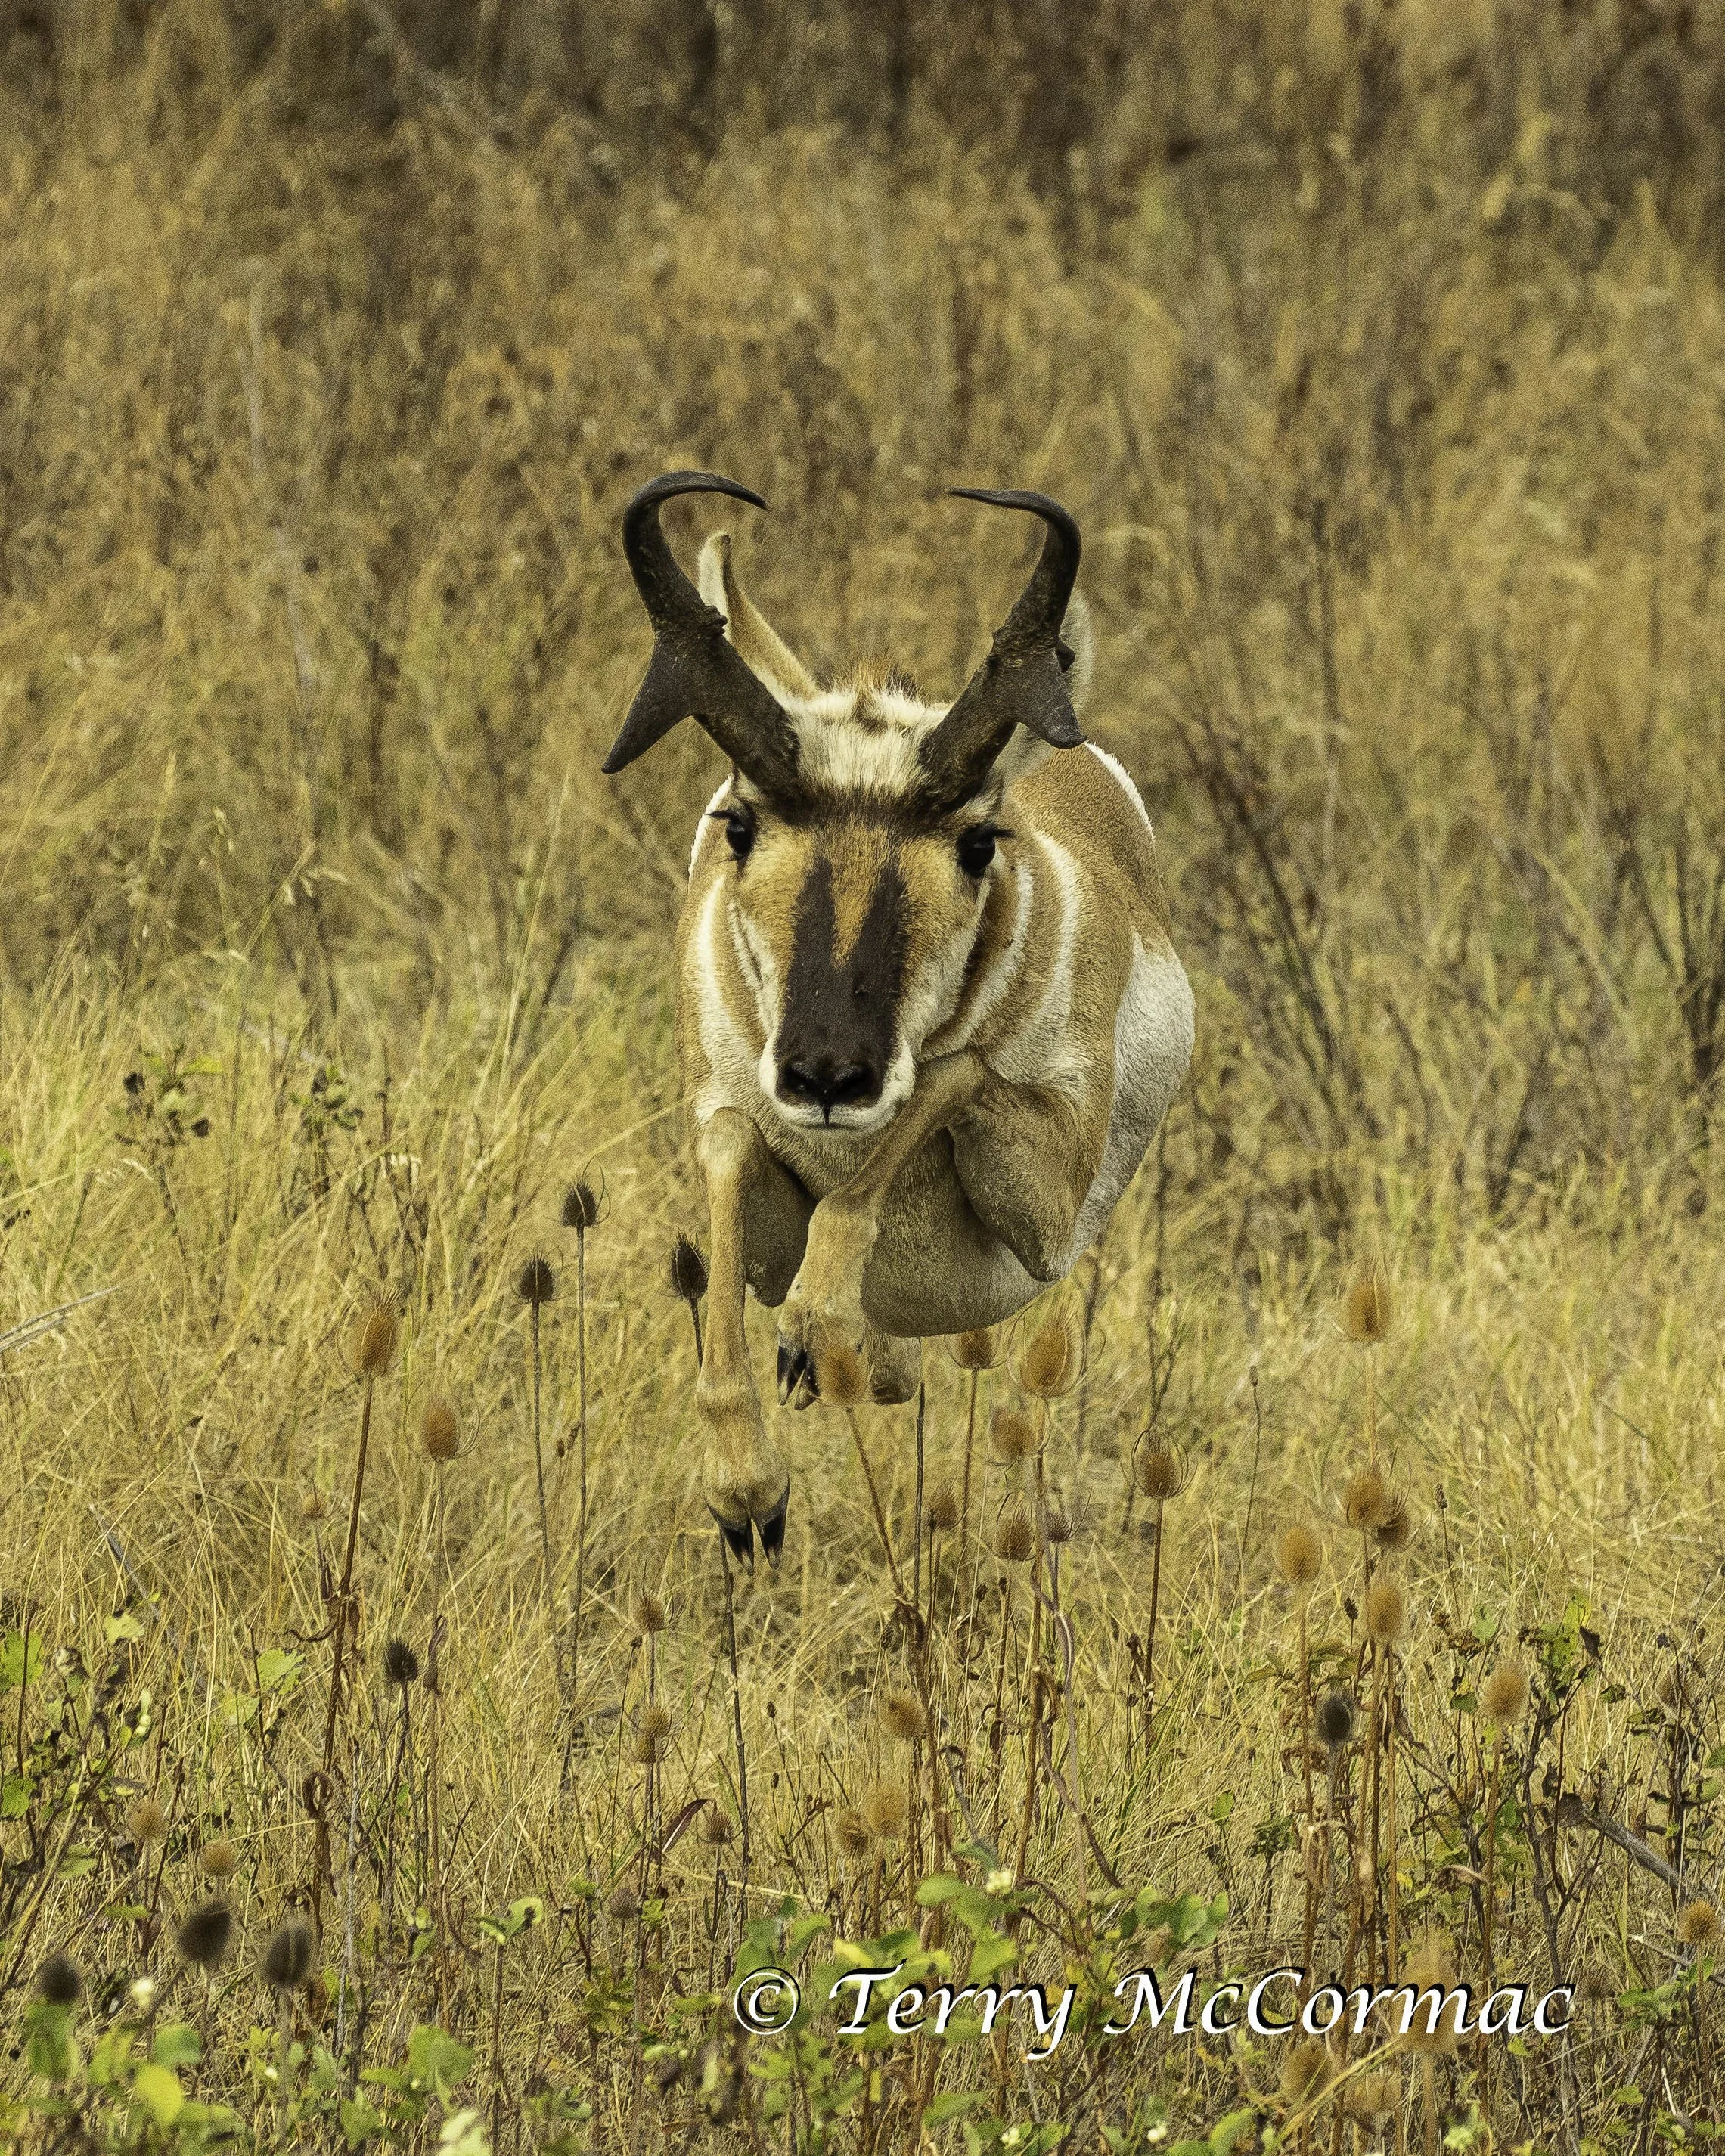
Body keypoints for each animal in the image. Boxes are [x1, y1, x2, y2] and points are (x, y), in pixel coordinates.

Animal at [604, 471, 1194, 1565]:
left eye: (977, 840)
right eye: (738, 822)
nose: (829, 1072)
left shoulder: (1049, 1222)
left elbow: (954, 1075)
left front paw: (815, 1333)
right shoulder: (743, 1176)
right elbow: (731, 1147)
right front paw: (748, 1495)